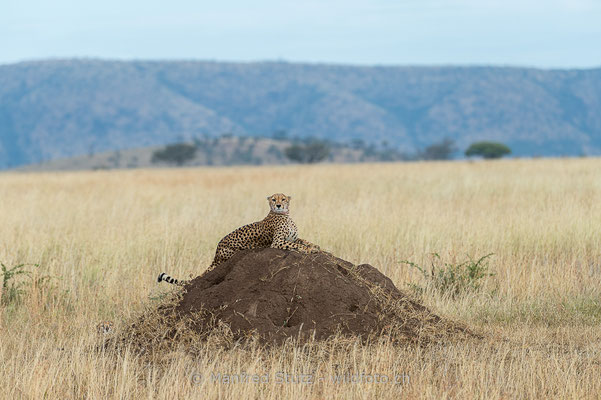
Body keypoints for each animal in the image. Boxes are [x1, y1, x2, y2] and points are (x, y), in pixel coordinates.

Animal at [158, 193, 318, 284]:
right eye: (274, 199)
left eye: (283, 199)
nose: (278, 205)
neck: (285, 215)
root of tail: (216, 252)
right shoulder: (277, 242)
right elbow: (298, 245)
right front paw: (309, 250)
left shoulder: (292, 238)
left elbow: (303, 241)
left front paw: (314, 246)